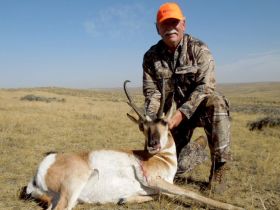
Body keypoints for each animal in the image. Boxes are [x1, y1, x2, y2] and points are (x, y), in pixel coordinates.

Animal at [24, 79, 243, 209]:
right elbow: (189, 193)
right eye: (142, 127)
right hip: (71, 190)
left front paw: (124, 198)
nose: (153, 144)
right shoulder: (154, 180)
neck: (163, 159)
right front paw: (235, 206)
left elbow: (162, 196)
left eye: (164, 122)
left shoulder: (155, 187)